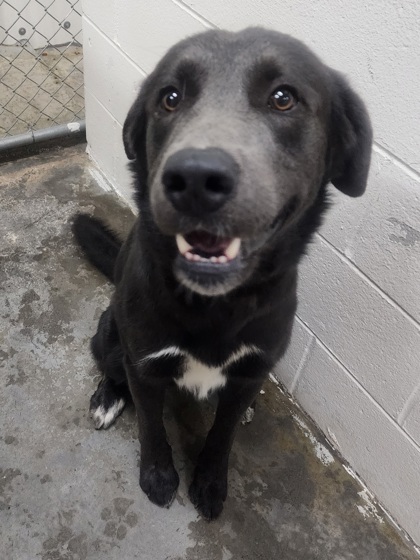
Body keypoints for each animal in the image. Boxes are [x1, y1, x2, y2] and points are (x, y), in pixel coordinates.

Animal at [72, 27, 370, 520]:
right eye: (170, 98)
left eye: (283, 98)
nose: (194, 179)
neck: (214, 307)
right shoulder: (145, 365)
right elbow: (152, 427)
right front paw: (158, 476)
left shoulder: (251, 370)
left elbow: (223, 433)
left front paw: (211, 481)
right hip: (111, 336)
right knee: (111, 367)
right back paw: (108, 397)